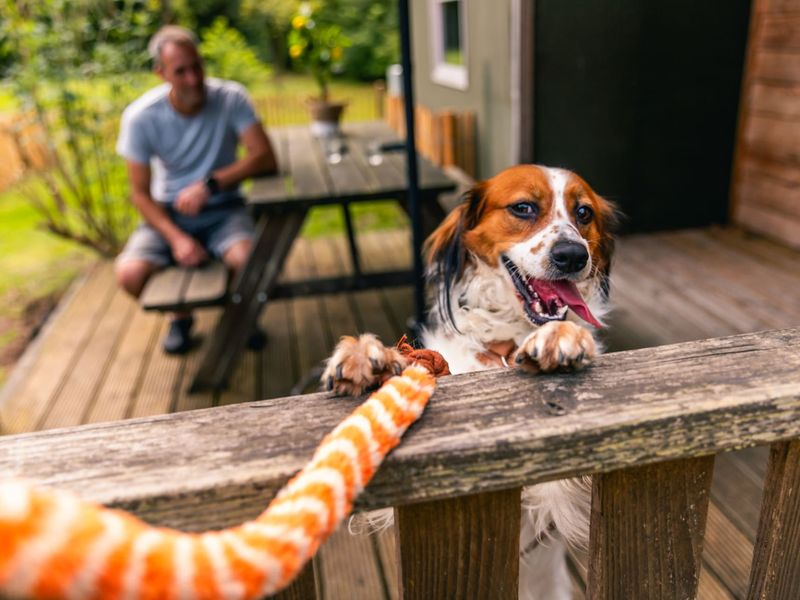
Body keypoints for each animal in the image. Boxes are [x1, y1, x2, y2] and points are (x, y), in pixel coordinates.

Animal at [322, 163, 616, 596]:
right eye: (523, 207)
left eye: (584, 213)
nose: (572, 255)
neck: (507, 343)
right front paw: (369, 358)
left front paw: (562, 337)